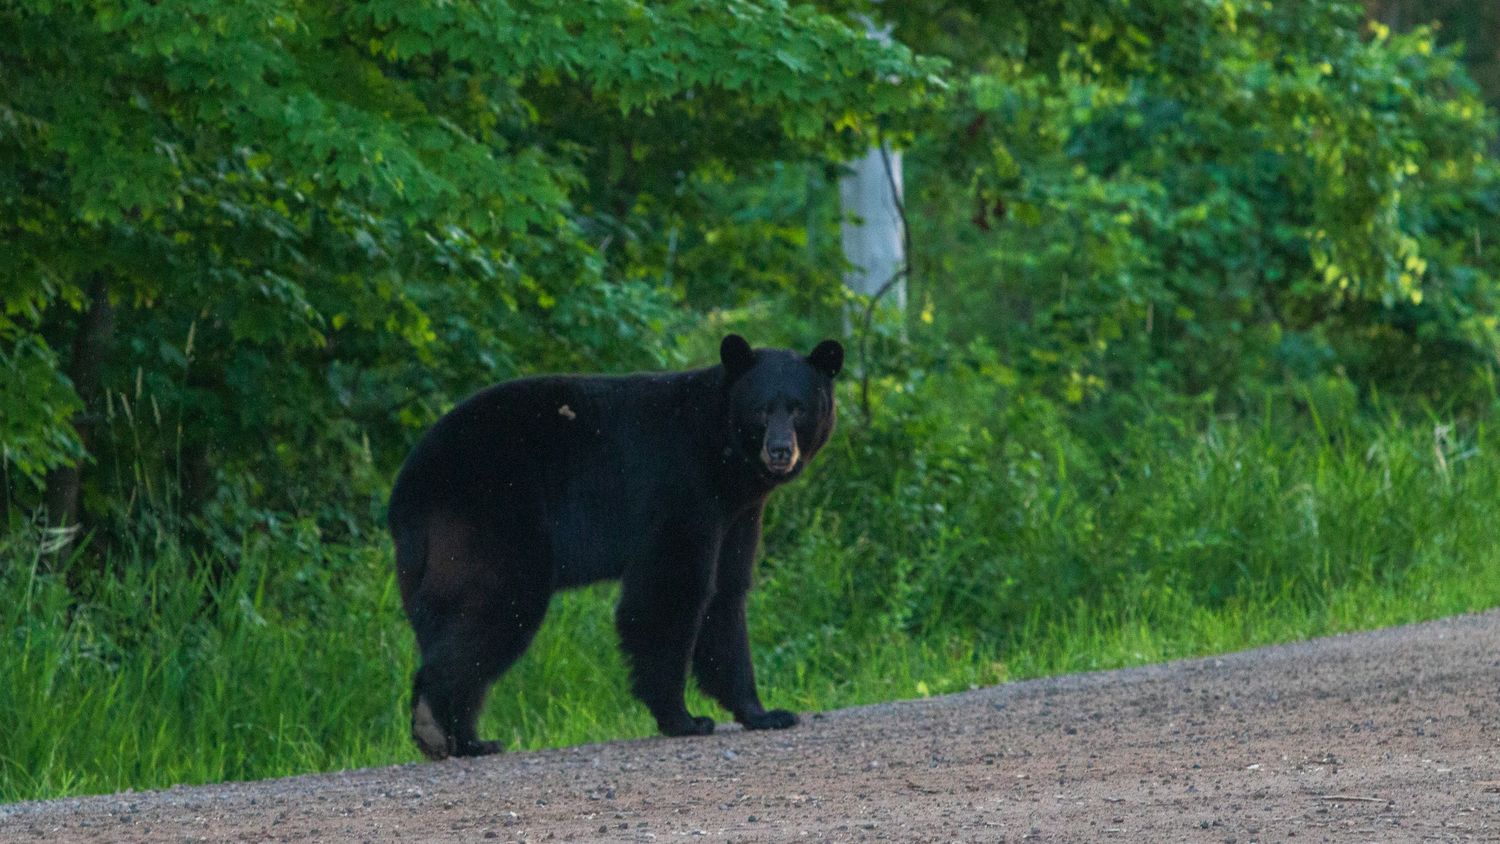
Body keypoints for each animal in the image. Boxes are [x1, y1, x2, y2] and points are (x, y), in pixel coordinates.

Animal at [387, 334, 844, 759]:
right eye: (762, 409)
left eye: (799, 407)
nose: (780, 450)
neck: (722, 458)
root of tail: (409, 488)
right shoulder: (682, 492)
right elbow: (671, 592)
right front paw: (684, 718)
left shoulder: (737, 516)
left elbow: (727, 597)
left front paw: (765, 713)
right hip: (496, 514)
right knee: (496, 607)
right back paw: (436, 724)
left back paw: (469, 739)